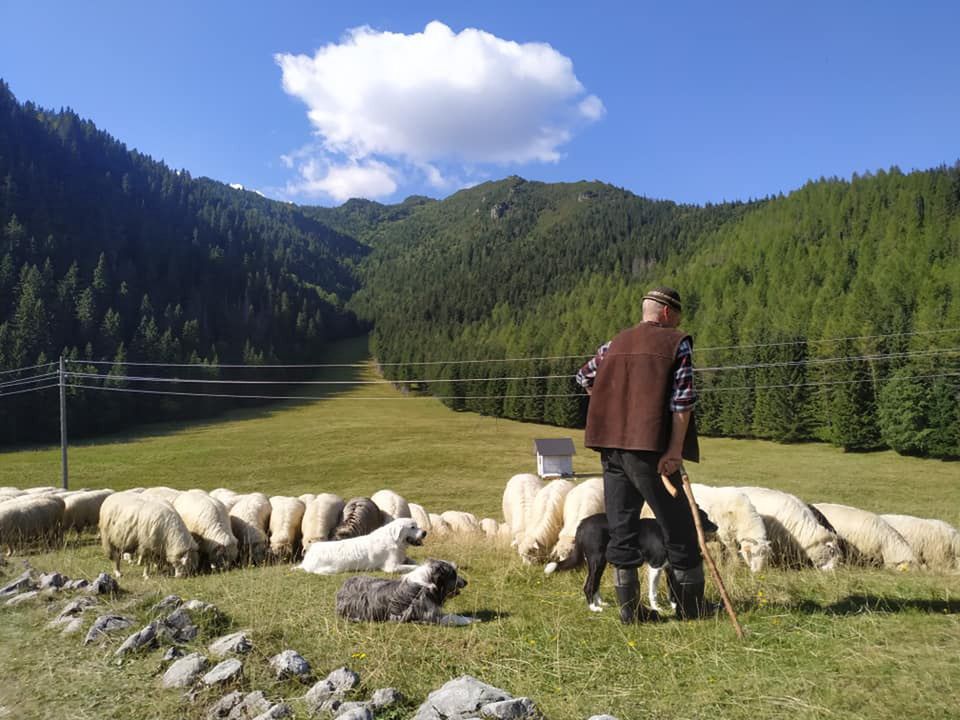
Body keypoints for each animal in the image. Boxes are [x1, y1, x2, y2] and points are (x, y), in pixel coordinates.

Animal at [294, 516, 426, 572]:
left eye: (417, 525)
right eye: (412, 527)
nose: (425, 532)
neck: (394, 540)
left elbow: (413, 561)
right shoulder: (391, 567)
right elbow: (414, 566)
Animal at [334, 556, 476, 624]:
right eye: (453, 574)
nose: (466, 582)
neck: (426, 582)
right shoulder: (426, 615)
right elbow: (451, 617)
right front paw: (470, 620)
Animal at [544, 512, 716, 612]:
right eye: (704, 517)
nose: (716, 526)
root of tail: (582, 524)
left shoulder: (669, 568)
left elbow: (672, 589)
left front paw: (674, 606)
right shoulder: (655, 566)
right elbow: (653, 592)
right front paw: (657, 608)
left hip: (601, 562)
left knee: (595, 583)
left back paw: (600, 603)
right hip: (596, 560)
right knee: (588, 585)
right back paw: (593, 608)